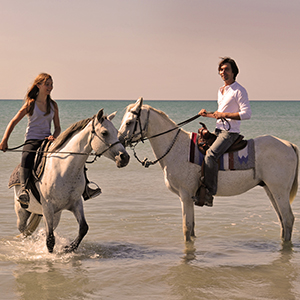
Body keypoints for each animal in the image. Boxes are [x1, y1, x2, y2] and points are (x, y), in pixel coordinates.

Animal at [13, 109, 129, 252]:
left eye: (116, 132)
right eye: (104, 133)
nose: (124, 157)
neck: (65, 169)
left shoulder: (75, 203)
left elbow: (83, 228)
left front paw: (69, 248)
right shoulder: (48, 207)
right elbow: (50, 240)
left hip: (55, 215)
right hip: (23, 212)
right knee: (24, 230)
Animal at [118, 98, 298, 244]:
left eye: (129, 122)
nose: (119, 142)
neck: (176, 147)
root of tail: (289, 145)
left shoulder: (186, 195)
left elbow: (186, 228)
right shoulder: (188, 197)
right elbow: (191, 228)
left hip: (279, 190)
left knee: (288, 219)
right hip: (270, 189)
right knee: (282, 220)